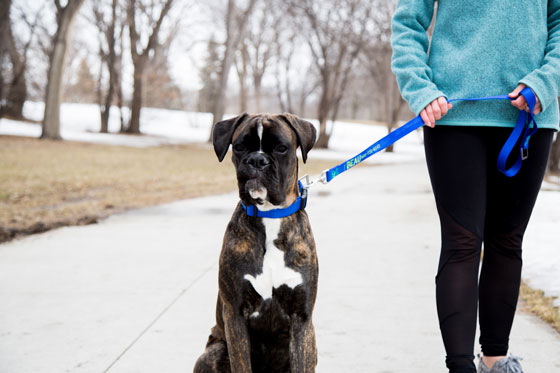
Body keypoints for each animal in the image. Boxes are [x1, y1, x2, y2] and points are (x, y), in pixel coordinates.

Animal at [192, 113, 318, 372]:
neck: (270, 215)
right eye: (239, 147)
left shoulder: (302, 320)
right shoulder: (235, 316)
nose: (257, 160)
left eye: (281, 148)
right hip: (211, 353)